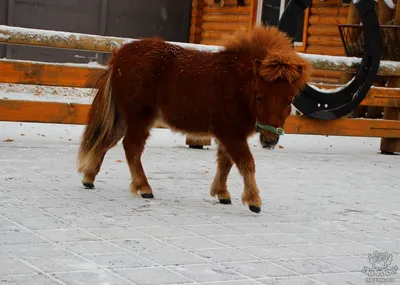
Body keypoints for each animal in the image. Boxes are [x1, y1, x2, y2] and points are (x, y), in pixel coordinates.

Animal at [77, 25, 312, 212]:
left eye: (289, 101)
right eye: (260, 97)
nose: (270, 141)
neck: (237, 85)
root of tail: (119, 56)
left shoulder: (229, 135)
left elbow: (225, 163)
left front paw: (222, 193)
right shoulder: (231, 133)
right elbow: (246, 163)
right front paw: (254, 201)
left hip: (123, 117)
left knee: (107, 141)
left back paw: (89, 178)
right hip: (139, 118)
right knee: (132, 147)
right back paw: (144, 188)